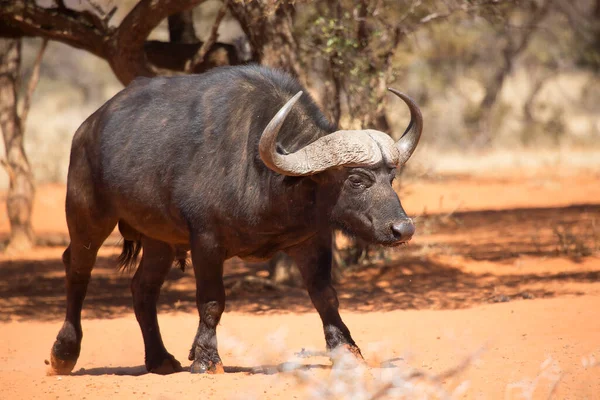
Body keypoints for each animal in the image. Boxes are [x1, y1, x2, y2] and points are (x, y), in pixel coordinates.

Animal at [50, 65, 422, 376]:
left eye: (391, 177)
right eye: (356, 180)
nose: (403, 229)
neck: (266, 176)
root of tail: (87, 128)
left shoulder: (310, 241)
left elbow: (325, 296)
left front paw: (347, 352)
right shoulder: (206, 242)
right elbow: (212, 301)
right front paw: (205, 359)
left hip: (159, 239)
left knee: (142, 287)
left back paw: (159, 359)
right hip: (86, 216)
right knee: (77, 269)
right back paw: (64, 353)